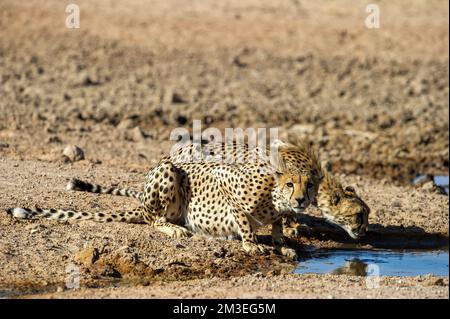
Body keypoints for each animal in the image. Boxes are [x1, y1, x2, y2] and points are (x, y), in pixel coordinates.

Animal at [7, 140, 324, 260]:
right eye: (290, 184)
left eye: (309, 185)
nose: (300, 200)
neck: (274, 197)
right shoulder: (225, 180)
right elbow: (244, 221)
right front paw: (251, 243)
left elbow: (278, 227)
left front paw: (284, 244)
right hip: (168, 170)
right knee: (153, 219)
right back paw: (174, 228)